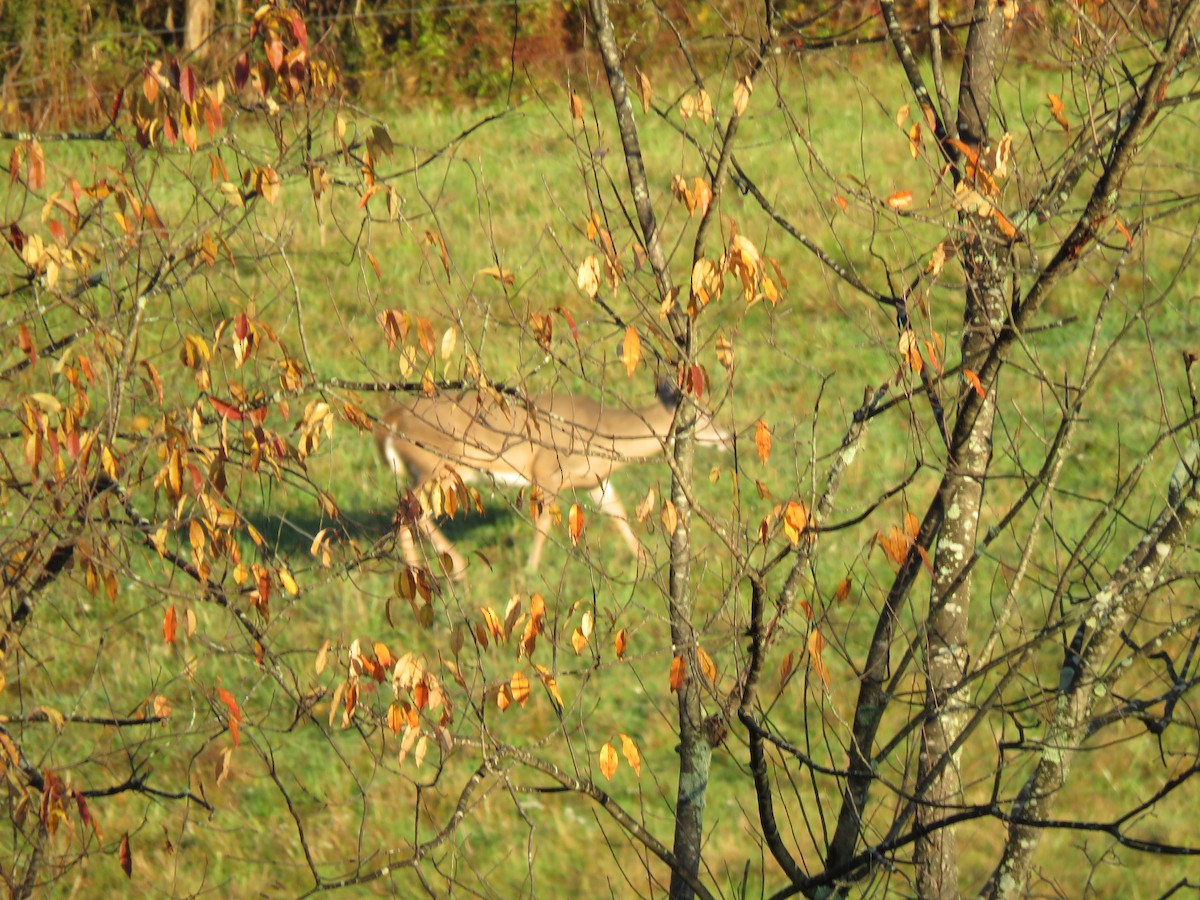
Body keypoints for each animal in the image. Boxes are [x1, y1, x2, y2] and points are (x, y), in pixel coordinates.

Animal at [375, 381, 732, 578]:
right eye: (703, 415)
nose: (727, 437)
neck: (603, 433)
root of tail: (393, 420)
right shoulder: (547, 471)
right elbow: (544, 522)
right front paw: (531, 570)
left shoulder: (595, 480)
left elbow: (616, 510)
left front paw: (643, 561)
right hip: (442, 466)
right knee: (412, 508)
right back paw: (455, 568)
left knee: (409, 508)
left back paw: (423, 571)